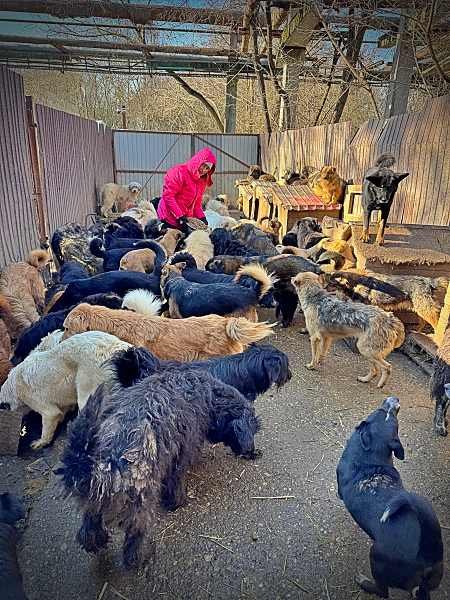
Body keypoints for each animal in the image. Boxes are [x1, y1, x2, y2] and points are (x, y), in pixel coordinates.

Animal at [59, 369, 261, 568]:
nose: (250, 451)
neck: (209, 395)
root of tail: (107, 461)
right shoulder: (180, 454)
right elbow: (176, 482)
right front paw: (177, 502)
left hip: (95, 503)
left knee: (88, 528)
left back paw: (97, 542)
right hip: (141, 503)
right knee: (134, 538)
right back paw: (142, 557)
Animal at [337, 396, 443, 599]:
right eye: (382, 412)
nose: (394, 399)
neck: (371, 457)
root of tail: (426, 558)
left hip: (377, 558)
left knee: (383, 591)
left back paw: (364, 582)